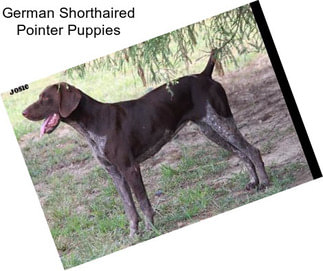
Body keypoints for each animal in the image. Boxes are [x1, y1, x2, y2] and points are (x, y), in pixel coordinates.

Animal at [22, 50, 270, 237]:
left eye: (45, 98)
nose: (23, 112)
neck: (93, 124)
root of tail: (204, 75)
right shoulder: (114, 173)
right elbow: (129, 208)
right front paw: (133, 234)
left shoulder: (130, 168)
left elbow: (142, 202)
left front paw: (151, 228)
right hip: (211, 129)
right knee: (242, 154)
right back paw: (253, 181)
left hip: (222, 123)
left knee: (252, 150)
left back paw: (265, 182)